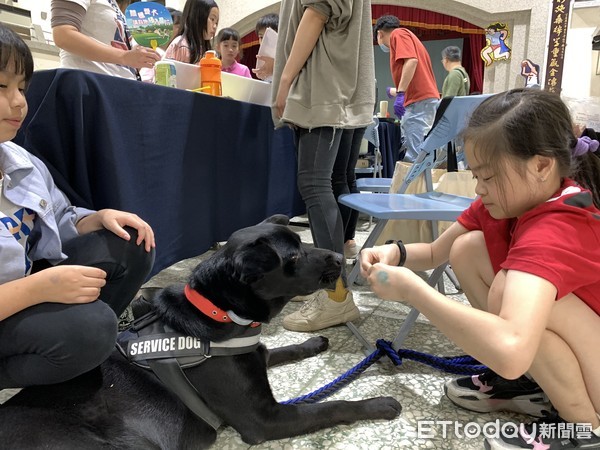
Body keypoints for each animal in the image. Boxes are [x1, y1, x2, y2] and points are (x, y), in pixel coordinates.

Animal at [1, 216, 404, 448]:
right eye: (292, 257)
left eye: (302, 241)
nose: (338, 258)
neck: (219, 311)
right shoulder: (264, 419)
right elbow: (331, 406)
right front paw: (379, 404)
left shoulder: (254, 355)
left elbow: (280, 350)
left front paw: (313, 342)